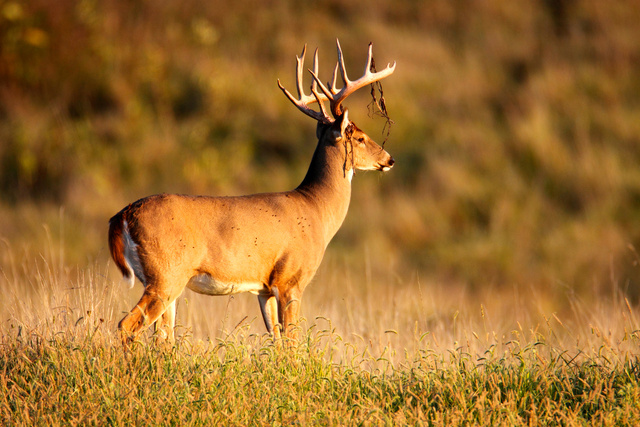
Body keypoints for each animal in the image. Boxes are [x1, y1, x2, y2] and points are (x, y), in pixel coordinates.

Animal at [108, 40, 396, 346]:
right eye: (361, 138)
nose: (389, 159)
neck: (316, 208)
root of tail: (122, 215)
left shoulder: (264, 288)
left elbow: (277, 341)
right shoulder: (290, 279)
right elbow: (292, 342)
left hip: (165, 282)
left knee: (163, 337)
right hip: (166, 275)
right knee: (127, 326)